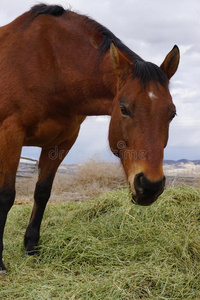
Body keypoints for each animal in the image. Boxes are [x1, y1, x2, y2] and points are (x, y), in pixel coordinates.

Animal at [0, 4, 180, 272]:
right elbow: (6, 195)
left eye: (172, 113)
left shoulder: (62, 142)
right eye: (124, 109)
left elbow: (42, 192)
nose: (150, 186)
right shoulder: (11, 134)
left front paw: (32, 247)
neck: (51, 64)